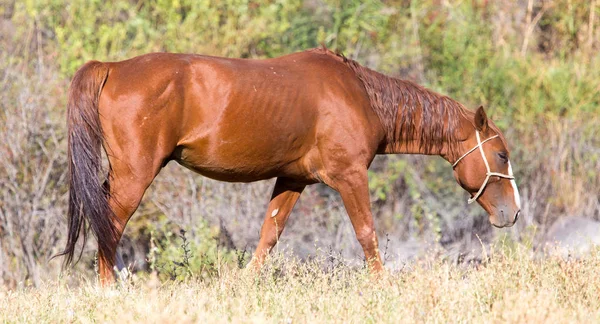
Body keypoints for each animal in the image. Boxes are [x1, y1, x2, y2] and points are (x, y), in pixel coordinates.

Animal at [62, 46, 520, 282]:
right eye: (501, 155)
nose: (512, 213)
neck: (360, 95)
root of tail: (112, 68)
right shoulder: (349, 177)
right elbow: (367, 234)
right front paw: (381, 286)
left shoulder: (292, 180)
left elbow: (269, 235)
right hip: (135, 176)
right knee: (109, 225)